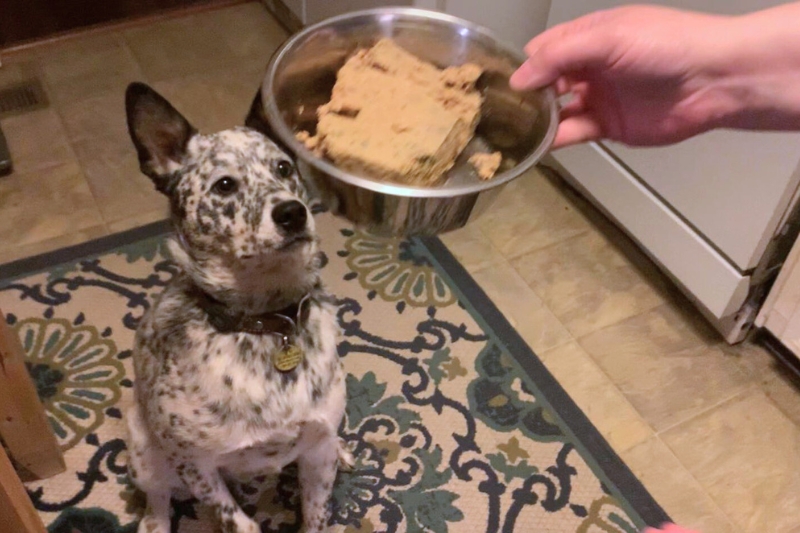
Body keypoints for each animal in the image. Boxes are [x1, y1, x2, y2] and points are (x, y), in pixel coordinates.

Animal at [124, 82, 350, 532]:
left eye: (284, 168)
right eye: (224, 184)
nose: (293, 212)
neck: (266, 320)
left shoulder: (318, 453)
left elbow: (316, 515)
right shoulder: (196, 466)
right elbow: (240, 522)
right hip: (141, 451)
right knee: (157, 496)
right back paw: (154, 521)